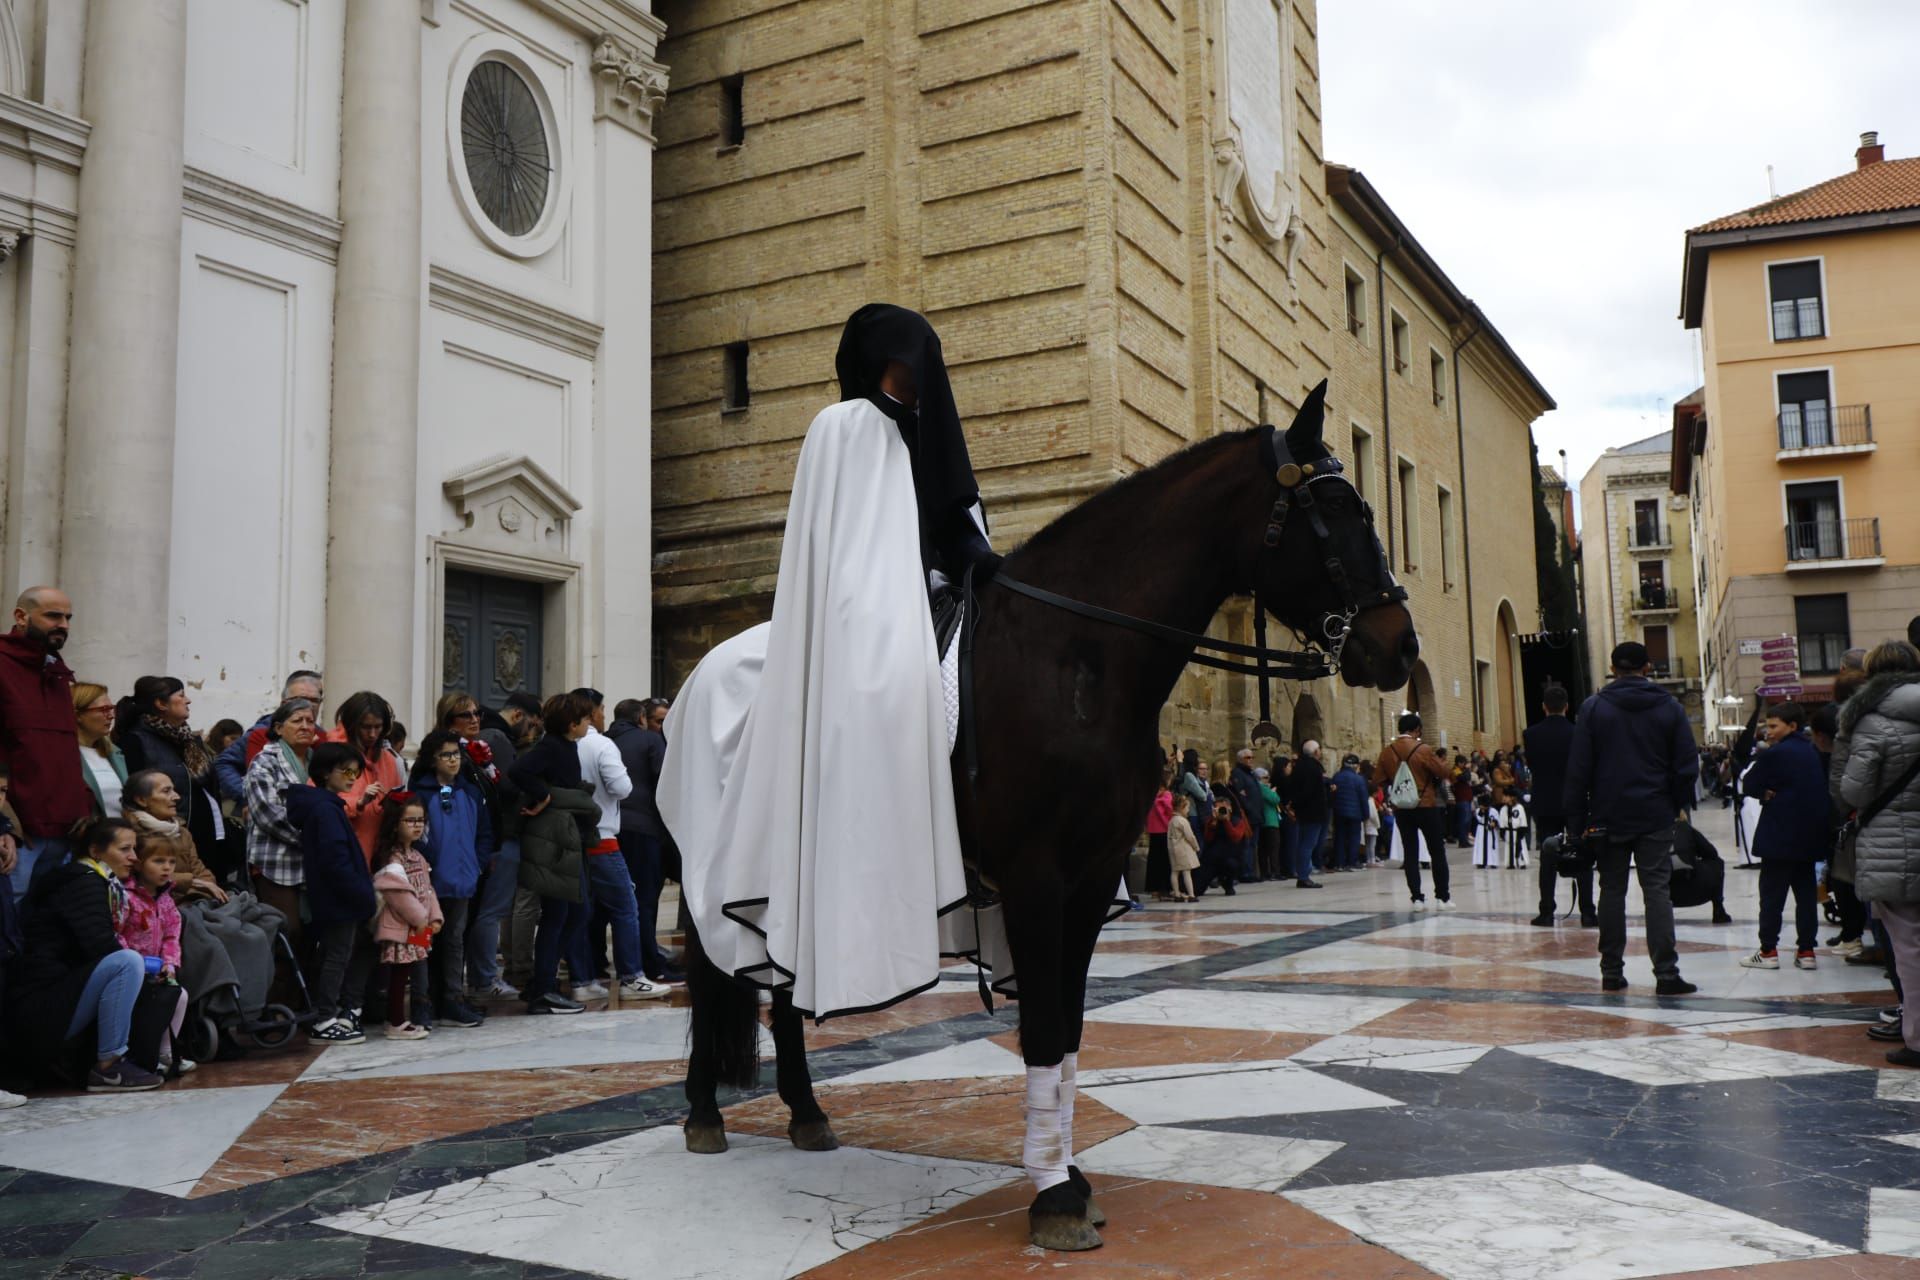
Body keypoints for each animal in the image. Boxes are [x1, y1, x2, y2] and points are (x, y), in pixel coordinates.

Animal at [672, 383, 1413, 1251]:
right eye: (1336, 505)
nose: (1401, 646)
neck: (1079, 656)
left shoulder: (1091, 877)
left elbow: (1071, 1024)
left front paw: (1067, 1172)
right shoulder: (1033, 875)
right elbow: (1046, 1024)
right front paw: (1053, 1193)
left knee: (783, 985)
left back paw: (806, 1111)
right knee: (708, 977)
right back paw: (703, 1111)